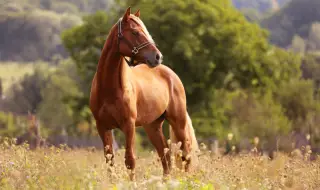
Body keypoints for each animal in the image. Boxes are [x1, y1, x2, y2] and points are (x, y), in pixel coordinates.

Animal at [88, 7, 198, 180]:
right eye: (134, 32)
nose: (158, 57)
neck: (109, 89)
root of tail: (171, 74)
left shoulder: (129, 125)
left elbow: (130, 160)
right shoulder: (102, 127)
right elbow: (110, 162)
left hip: (178, 122)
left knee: (185, 155)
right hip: (152, 126)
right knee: (165, 156)